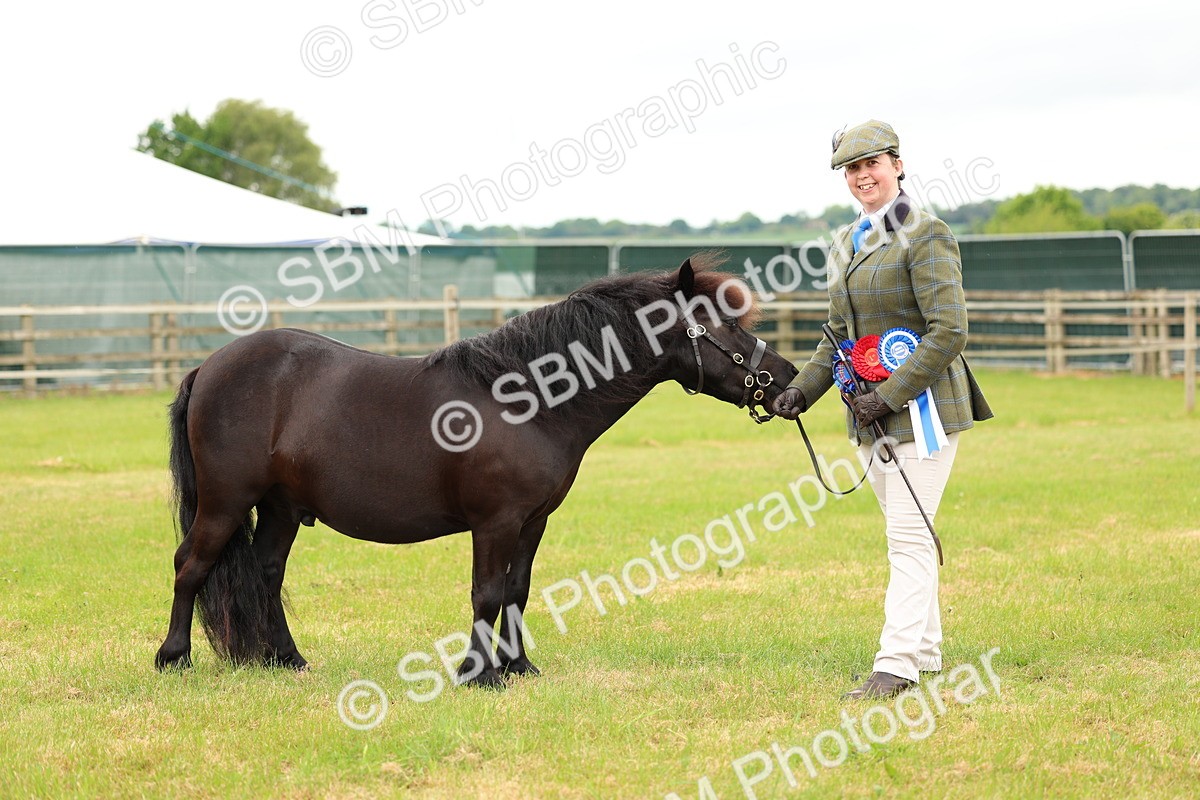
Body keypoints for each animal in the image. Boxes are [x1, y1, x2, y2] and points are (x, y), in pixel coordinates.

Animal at [154, 254, 799, 687]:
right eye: (724, 325)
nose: (788, 378)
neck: (528, 400)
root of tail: (207, 367)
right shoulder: (495, 521)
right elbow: (486, 592)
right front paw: (478, 672)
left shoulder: (533, 522)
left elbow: (517, 590)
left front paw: (519, 667)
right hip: (226, 501)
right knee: (191, 564)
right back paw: (174, 659)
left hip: (282, 508)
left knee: (265, 573)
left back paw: (284, 660)